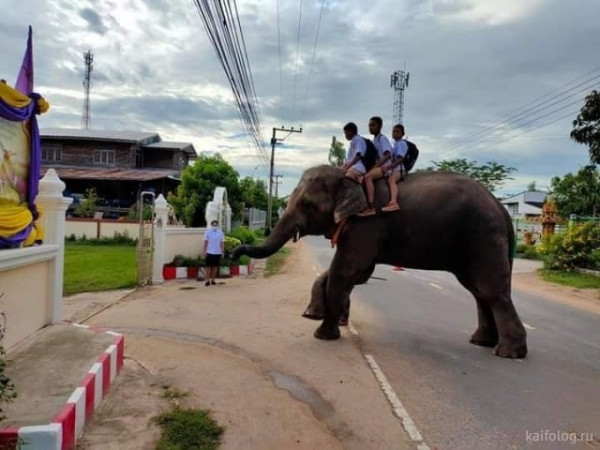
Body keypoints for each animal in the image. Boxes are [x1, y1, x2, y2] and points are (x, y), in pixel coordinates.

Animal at [232, 165, 528, 358]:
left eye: (307, 204)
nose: (234, 252)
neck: (351, 178)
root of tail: (502, 208)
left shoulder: (367, 224)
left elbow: (345, 271)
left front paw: (322, 335)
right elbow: (357, 273)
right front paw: (312, 315)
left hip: (483, 236)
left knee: (491, 291)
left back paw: (507, 353)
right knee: (479, 292)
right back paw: (481, 342)